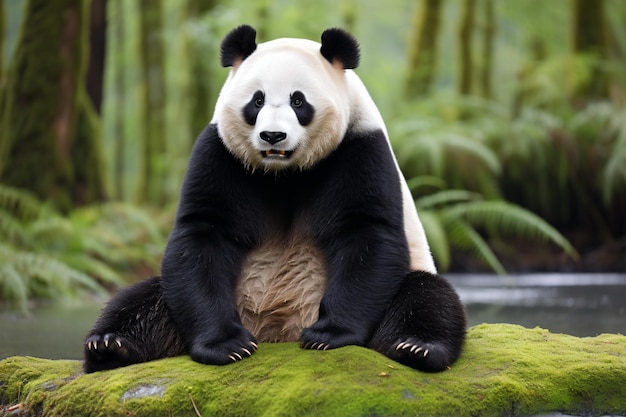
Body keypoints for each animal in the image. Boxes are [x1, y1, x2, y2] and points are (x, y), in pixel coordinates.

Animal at [81, 24, 464, 372]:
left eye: (298, 100)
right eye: (257, 100)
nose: (273, 136)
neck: (284, 174)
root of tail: (277, 334)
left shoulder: (360, 148)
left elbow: (367, 233)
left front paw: (329, 335)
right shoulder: (220, 153)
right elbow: (202, 233)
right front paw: (227, 346)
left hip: (407, 281)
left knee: (429, 298)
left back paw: (416, 348)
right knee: (141, 300)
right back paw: (110, 346)